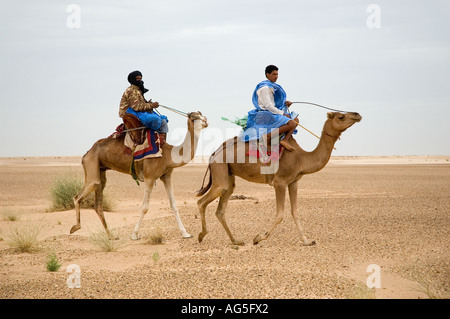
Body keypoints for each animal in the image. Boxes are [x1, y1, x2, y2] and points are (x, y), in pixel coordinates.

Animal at [71, 112, 209, 240]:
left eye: (201, 115)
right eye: (194, 118)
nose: (206, 121)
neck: (167, 155)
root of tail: (87, 153)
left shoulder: (166, 176)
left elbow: (174, 205)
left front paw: (186, 233)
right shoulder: (149, 177)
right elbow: (145, 207)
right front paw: (134, 234)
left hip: (101, 169)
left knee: (98, 202)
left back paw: (111, 236)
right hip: (92, 164)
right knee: (79, 196)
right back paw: (75, 228)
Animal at [197, 112, 362, 248]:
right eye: (341, 117)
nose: (357, 115)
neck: (301, 158)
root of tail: (214, 154)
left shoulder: (294, 182)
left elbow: (295, 212)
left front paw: (307, 241)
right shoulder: (280, 183)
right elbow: (280, 215)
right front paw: (258, 238)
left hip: (228, 176)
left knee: (221, 208)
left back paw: (235, 240)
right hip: (220, 170)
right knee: (201, 201)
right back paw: (201, 235)